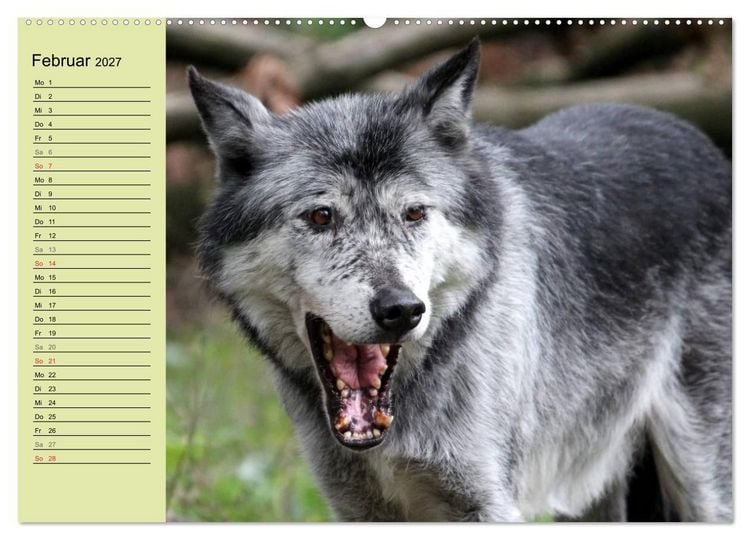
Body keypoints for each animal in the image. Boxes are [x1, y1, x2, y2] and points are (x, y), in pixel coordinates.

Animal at [187, 38, 732, 522]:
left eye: (414, 213)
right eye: (322, 216)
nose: (402, 310)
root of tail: (702, 144)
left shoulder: (487, 503)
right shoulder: (360, 509)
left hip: (704, 487)